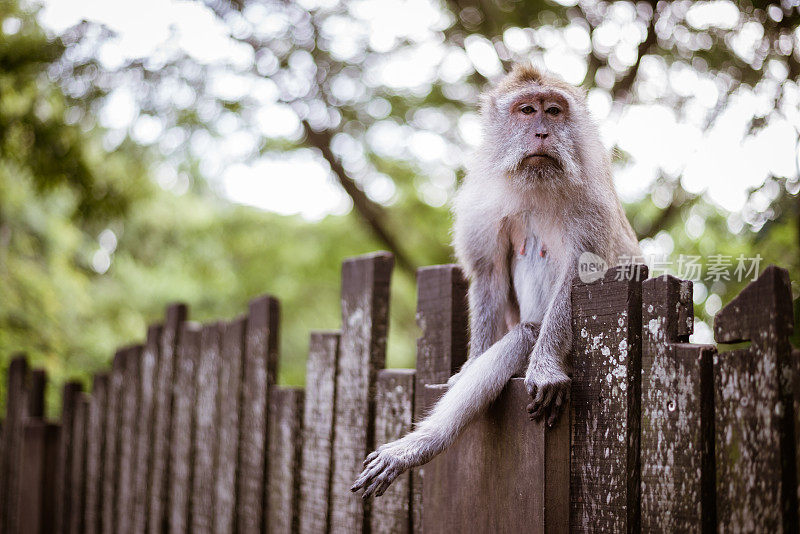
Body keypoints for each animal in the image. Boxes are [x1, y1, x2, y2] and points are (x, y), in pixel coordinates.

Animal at [354, 65, 640, 500]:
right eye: (527, 110)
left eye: (553, 110)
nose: (542, 133)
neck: (536, 181)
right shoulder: (483, 205)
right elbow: (488, 274)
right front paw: (470, 363)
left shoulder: (590, 201)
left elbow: (576, 277)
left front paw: (545, 369)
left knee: (527, 333)